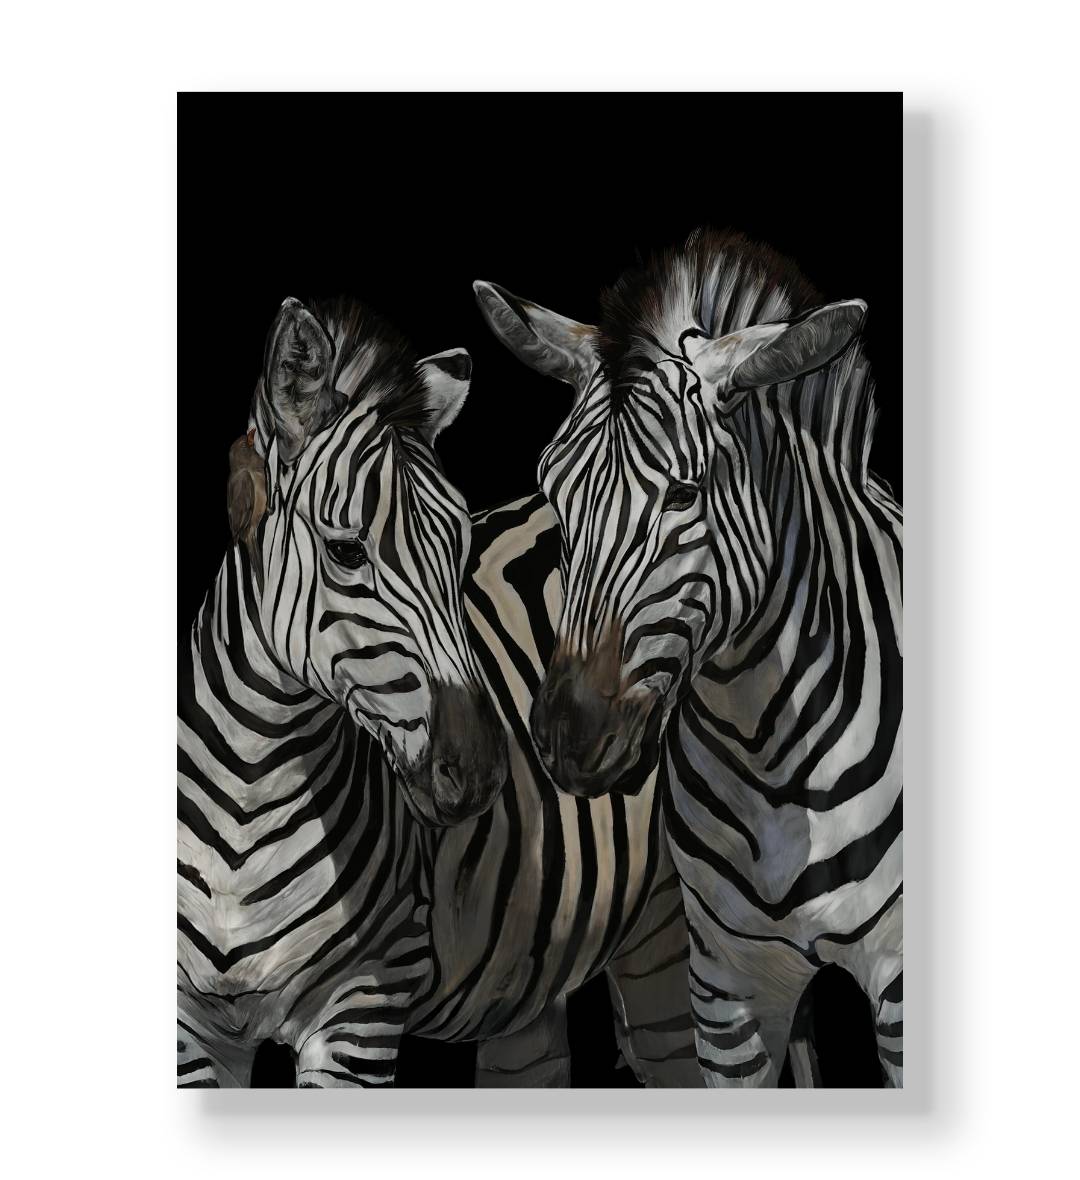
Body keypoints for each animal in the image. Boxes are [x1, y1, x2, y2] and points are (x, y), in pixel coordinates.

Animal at [473, 228, 903, 1087]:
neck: (770, 755)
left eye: (684, 494)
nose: (567, 736)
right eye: (553, 494)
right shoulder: (724, 989)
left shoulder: (906, 986)